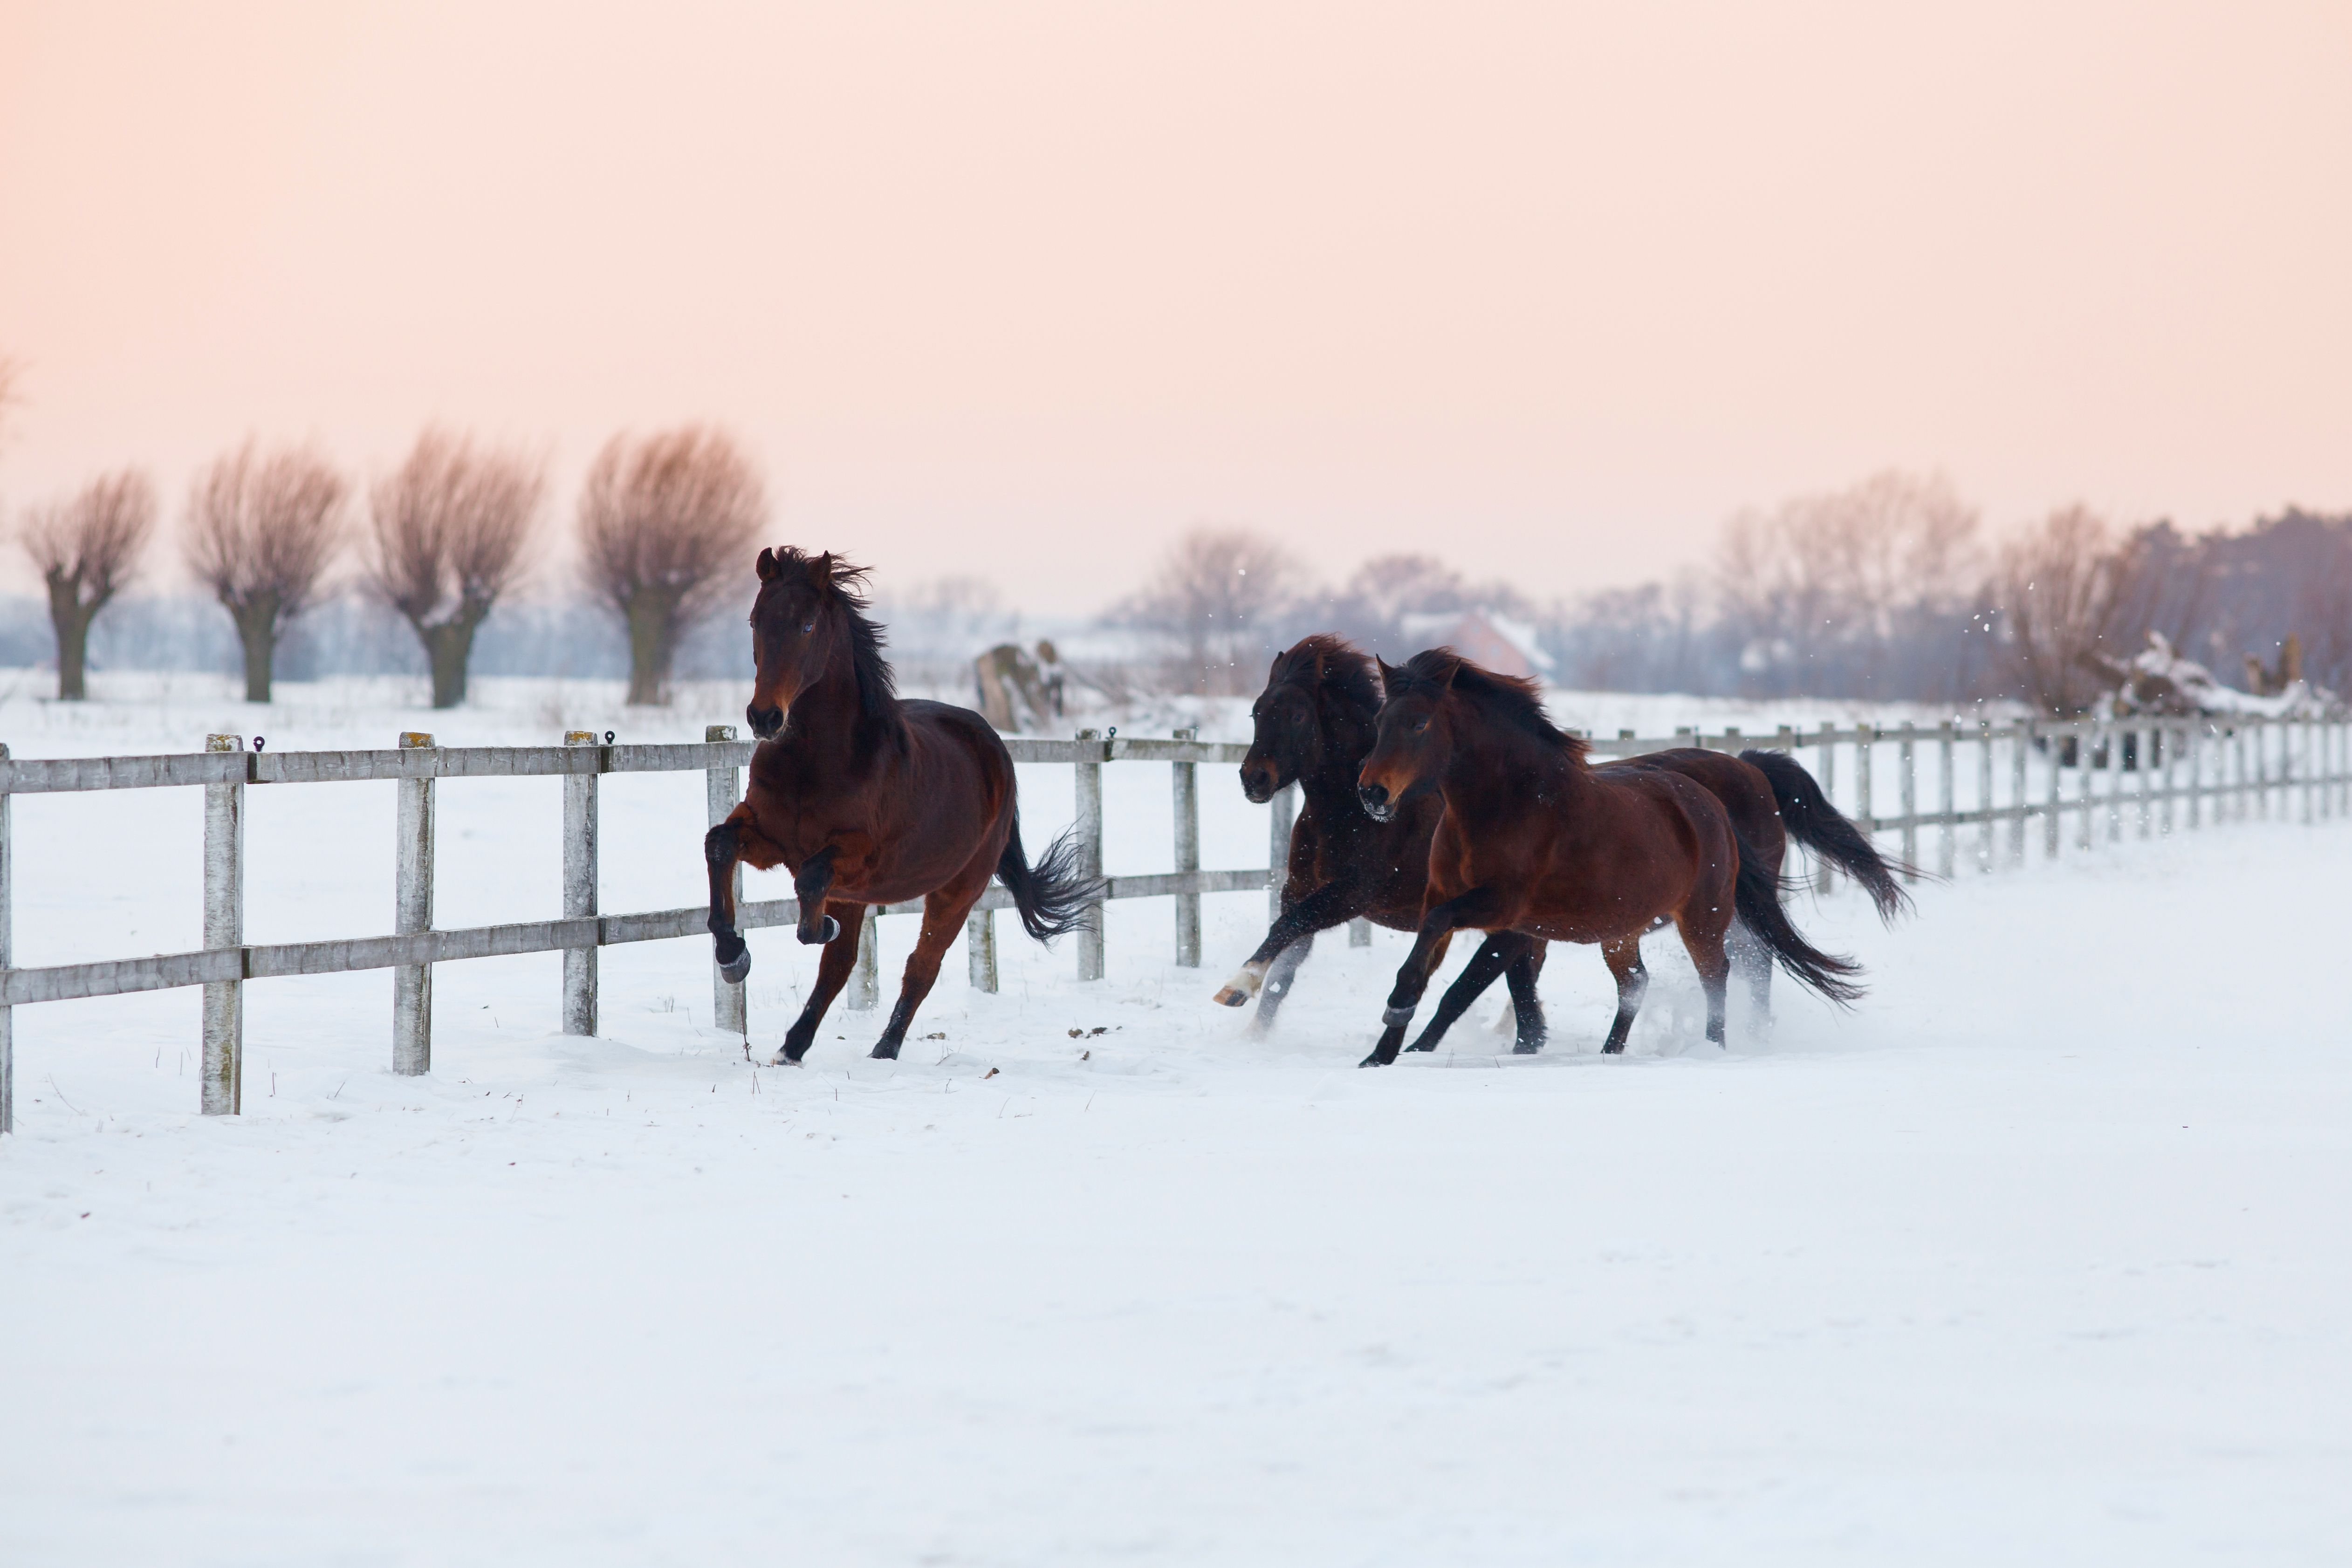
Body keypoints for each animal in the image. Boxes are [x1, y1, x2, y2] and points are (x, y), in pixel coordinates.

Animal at [704, 547, 1097, 1063]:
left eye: (807, 625)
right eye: (755, 621)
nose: (765, 717)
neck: (815, 761)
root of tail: (994, 748)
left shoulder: (858, 857)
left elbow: (809, 883)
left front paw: (816, 928)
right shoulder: (770, 838)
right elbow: (719, 844)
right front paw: (733, 955)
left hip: (957, 891)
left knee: (920, 968)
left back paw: (883, 1050)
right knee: (840, 966)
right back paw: (792, 1047)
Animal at [1353, 649, 1863, 1068]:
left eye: (1419, 723)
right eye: (1379, 719)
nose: (1371, 792)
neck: (1511, 803)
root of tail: (1709, 802)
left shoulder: (1502, 909)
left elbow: (1456, 977)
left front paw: (1399, 1023)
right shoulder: (1449, 900)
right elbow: (1426, 961)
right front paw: (1383, 1052)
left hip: (1705, 915)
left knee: (1721, 972)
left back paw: (1712, 1048)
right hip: (1622, 929)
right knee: (1636, 981)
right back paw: (1609, 1053)